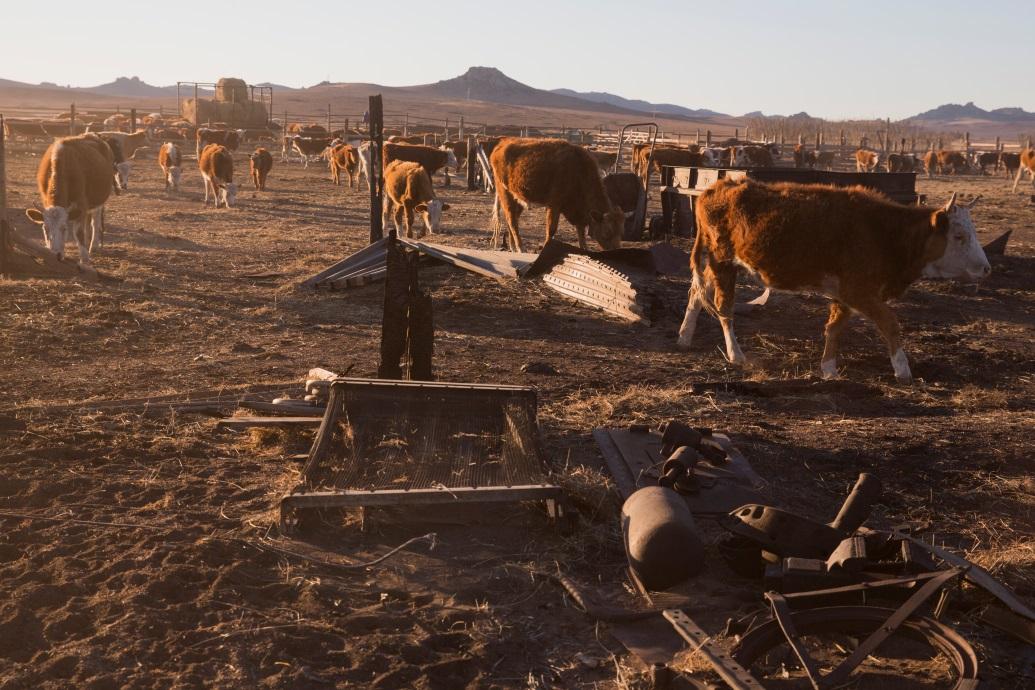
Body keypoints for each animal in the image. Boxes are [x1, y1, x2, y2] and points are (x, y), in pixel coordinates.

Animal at [24, 134, 114, 266]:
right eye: (45, 229)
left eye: (64, 228)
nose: (55, 255)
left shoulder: (81, 203)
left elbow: (78, 232)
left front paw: (84, 259)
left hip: (99, 199)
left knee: (95, 220)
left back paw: (94, 245)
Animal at [490, 136, 625, 252]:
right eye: (607, 231)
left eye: (620, 231)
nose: (615, 250)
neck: (578, 170)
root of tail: (501, 145)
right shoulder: (554, 205)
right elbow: (551, 230)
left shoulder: (578, 211)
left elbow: (581, 231)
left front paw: (584, 249)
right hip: (505, 193)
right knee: (512, 220)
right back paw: (520, 248)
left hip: (518, 197)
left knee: (513, 219)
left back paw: (513, 247)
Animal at [674, 177, 989, 382]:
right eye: (959, 236)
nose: (986, 269)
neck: (884, 233)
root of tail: (715, 187)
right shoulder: (859, 291)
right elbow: (890, 323)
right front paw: (902, 369)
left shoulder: (845, 293)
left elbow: (834, 328)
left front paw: (828, 368)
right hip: (723, 263)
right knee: (723, 308)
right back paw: (735, 354)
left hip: (718, 265)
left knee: (696, 294)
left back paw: (684, 337)